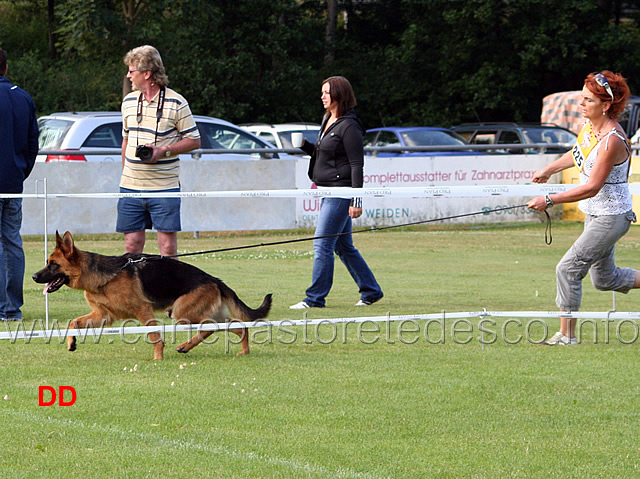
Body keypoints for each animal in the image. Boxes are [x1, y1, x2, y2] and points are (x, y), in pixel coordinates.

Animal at [32, 232, 272, 360]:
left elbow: (155, 336)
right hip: (199, 313)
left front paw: (158, 358)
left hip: (182, 312)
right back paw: (243, 350)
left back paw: (186, 346)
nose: (34, 276)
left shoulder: (143, 311)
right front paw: (71, 342)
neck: (102, 277)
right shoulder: (103, 316)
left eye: (53, 265)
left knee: (211, 327)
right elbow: (73, 323)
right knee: (235, 325)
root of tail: (215, 279)